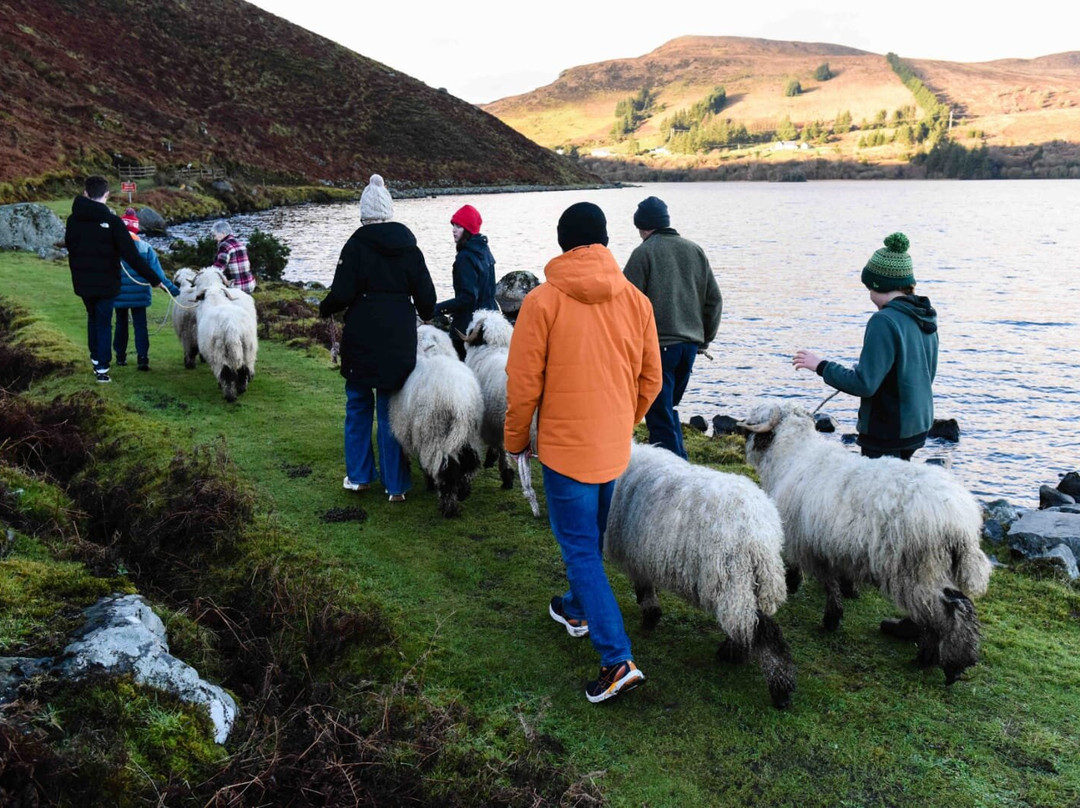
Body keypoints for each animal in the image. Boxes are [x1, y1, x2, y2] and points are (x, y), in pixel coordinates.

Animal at [390, 324, 483, 518]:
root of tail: (458, 400)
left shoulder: (406, 427)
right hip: (467, 432)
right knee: (470, 460)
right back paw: (463, 492)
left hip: (436, 432)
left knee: (446, 469)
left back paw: (448, 507)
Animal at [604, 442, 799, 708]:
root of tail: (760, 532)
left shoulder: (636, 555)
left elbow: (644, 587)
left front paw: (649, 616)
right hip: (750, 581)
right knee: (751, 623)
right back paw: (736, 653)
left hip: (732, 578)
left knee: (762, 632)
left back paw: (780, 689)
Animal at [738, 401, 989, 687]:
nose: (742, 433)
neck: (791, 455)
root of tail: (961, 520)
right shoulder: (828, 546)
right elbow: (835, 578)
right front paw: (845, 595)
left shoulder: (806, 542)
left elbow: (825, 580)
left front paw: (827, 614)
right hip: (939, 568)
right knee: (958, 604)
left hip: (917, 571)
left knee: (946, 611)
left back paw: (939, 661)